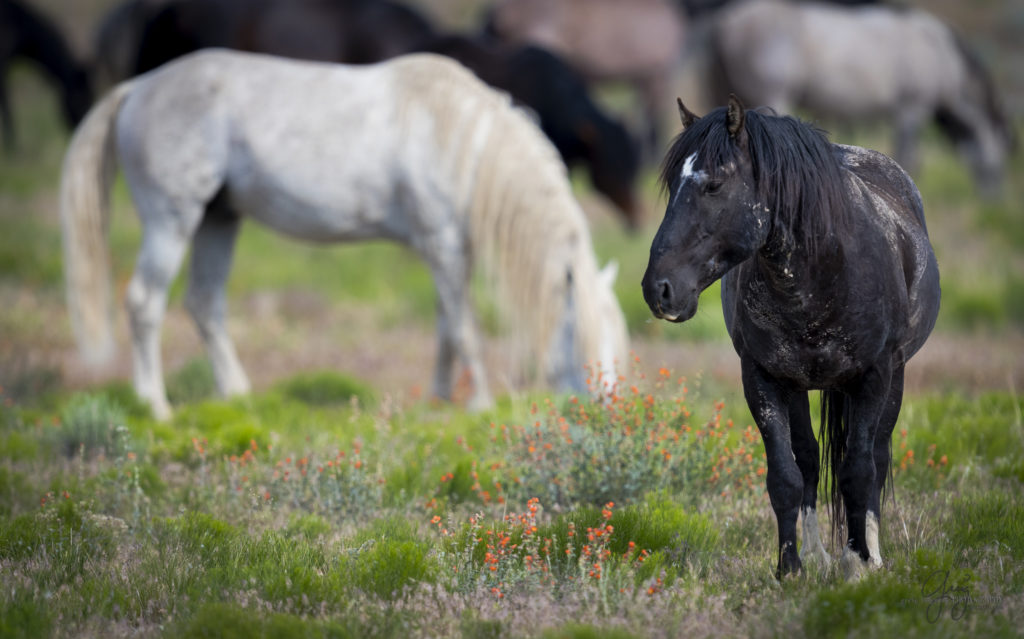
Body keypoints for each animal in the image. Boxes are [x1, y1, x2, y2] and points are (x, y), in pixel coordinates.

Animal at [61, 49, 630, 419]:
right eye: (585, 336)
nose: (604, 412)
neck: (462, 145)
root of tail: (137, 88)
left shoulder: (447, 253)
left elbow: (447, 328)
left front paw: (441, 398)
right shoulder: (442, 246)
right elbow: (466, 329)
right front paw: (480, 404)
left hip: (219, 220)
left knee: (204, 303)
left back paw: (238, 396)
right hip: (172, 220)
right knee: (143, 302)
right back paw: (154, 406)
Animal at [643, 97, 937, 581]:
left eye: (714, 185)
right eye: (672, 185)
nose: (658, 289)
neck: (822, 276)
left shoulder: (874, 375)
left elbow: (859, 470)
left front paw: (859, 562)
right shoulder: (764, 379)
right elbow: (786, 475)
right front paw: (790, 567)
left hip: (894, 377)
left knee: (876, 456)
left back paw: (869, 553)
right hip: (801, 388)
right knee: (811, 459)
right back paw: (819, 555)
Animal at [712, 0, 1015, 195]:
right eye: (1001, 153)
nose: (994, 203)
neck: (941, 54)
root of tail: (728, 22)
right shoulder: (911, 111)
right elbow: (909, 157)